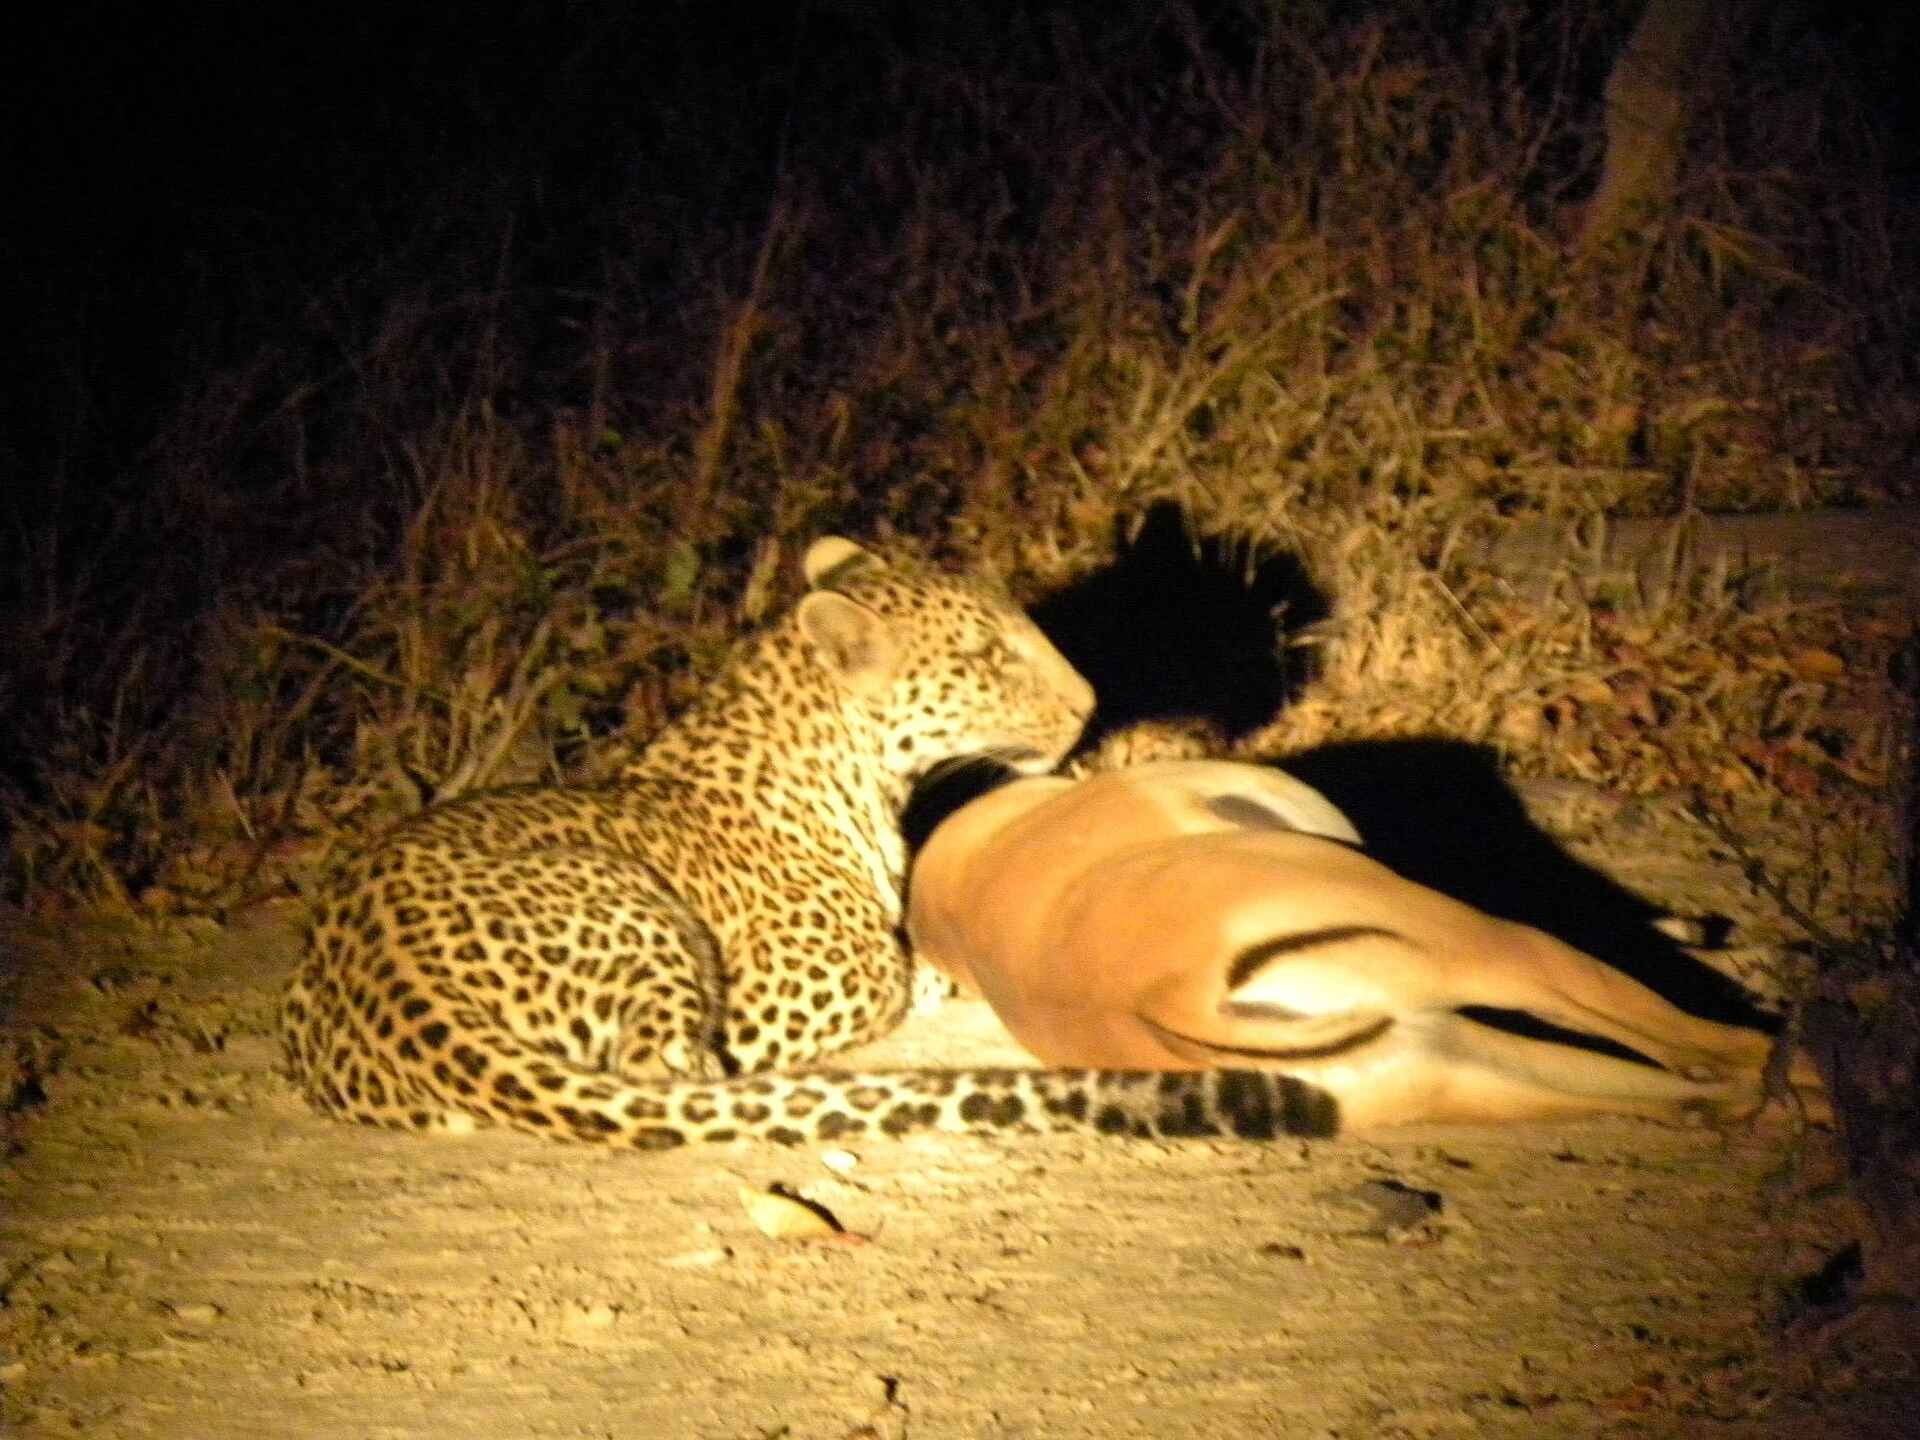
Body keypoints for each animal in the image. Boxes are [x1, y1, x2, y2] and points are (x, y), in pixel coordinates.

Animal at [283, 536, 1330, 1149]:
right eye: (986, 657)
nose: (1087, 703)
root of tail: (393, 979)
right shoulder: (796, 988)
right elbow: (894, 971)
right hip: (643, 923)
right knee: (677, 1076)